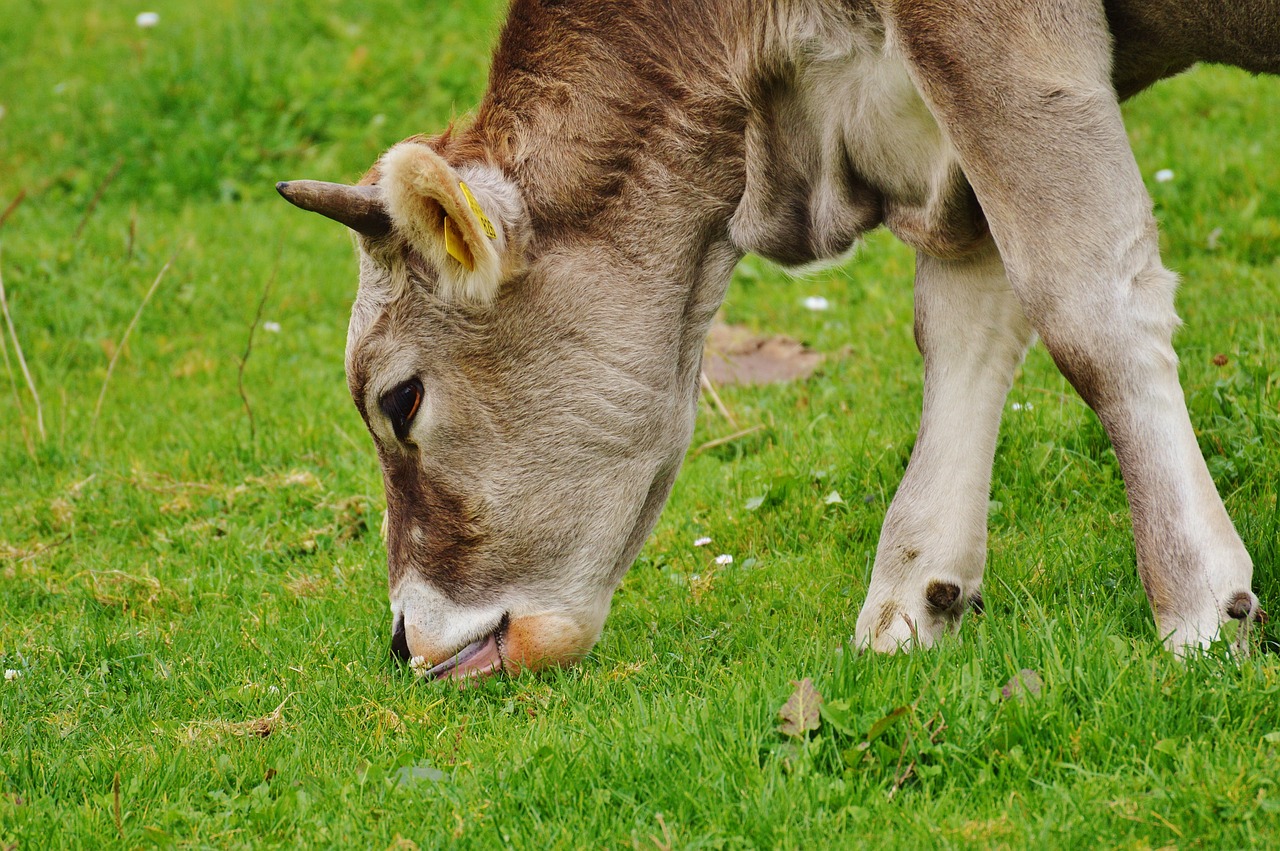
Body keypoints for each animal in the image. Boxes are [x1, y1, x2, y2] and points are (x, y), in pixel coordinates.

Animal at [275, 0, 1274, 675]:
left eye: (400, 398)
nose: (402, 637)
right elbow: (966, 321)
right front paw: (915, 594)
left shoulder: (991, 40)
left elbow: (1086, 308)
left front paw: (1199, 605)